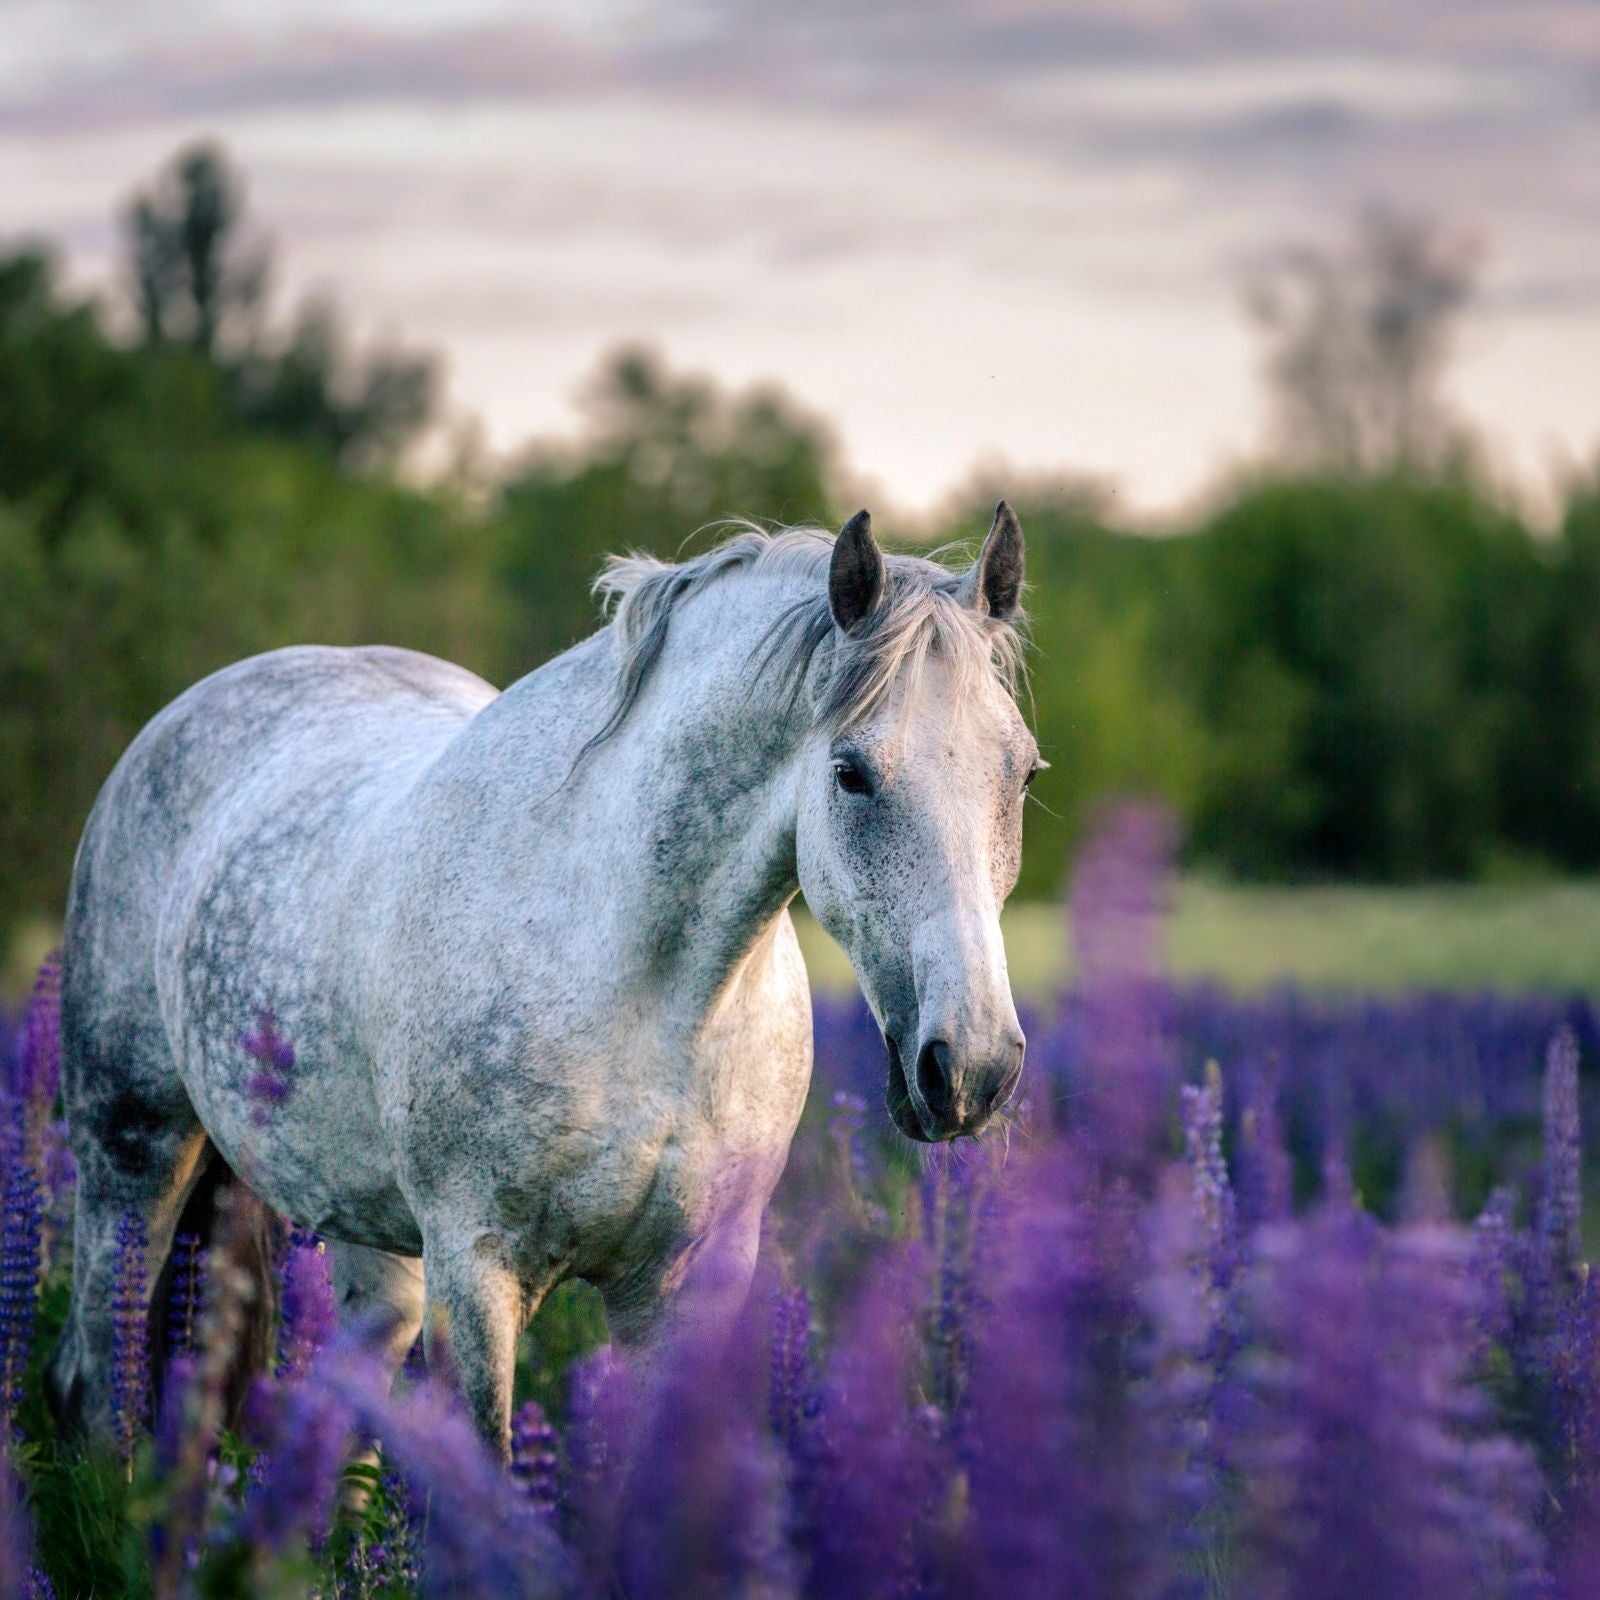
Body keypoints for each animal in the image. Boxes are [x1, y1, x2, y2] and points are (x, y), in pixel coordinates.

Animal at [49, 502, 1038, 1453]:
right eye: (851, 772)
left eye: (1025, 773)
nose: (973, 1066)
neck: (647, 993)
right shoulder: (476, 1273)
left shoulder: (683, 1285)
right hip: (130, 1161)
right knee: (101, 1378)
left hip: (370, 1238)